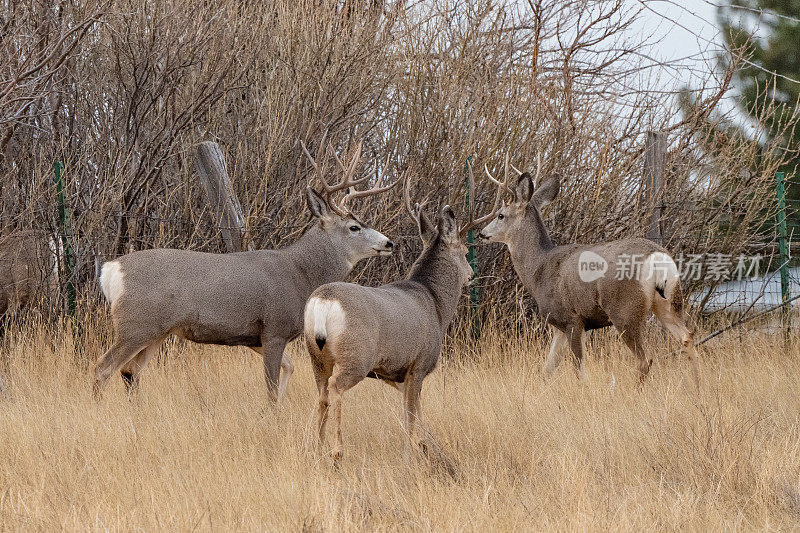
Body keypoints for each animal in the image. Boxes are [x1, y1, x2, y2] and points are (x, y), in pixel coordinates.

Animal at [94, 137, 400, 400]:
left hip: (158, 331)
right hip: (136, 323)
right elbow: (271, 386)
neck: (300, 273)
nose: (389, 243)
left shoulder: (255, 338)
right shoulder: (274, 328)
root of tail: (110, 269)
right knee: (103, 368)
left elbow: (289, 368)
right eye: (354, 227)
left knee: (130, 371)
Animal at [476, 155, 700, 386]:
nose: (482, 233)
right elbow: (547, 369)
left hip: (624, 309)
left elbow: (579, 369)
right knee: (687, 337)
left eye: (501, 215)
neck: (539, 269)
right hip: (669, 300)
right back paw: (697, 387)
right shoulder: (559, 325)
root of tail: (658, 258)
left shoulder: (572, 319)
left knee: (645, 359)